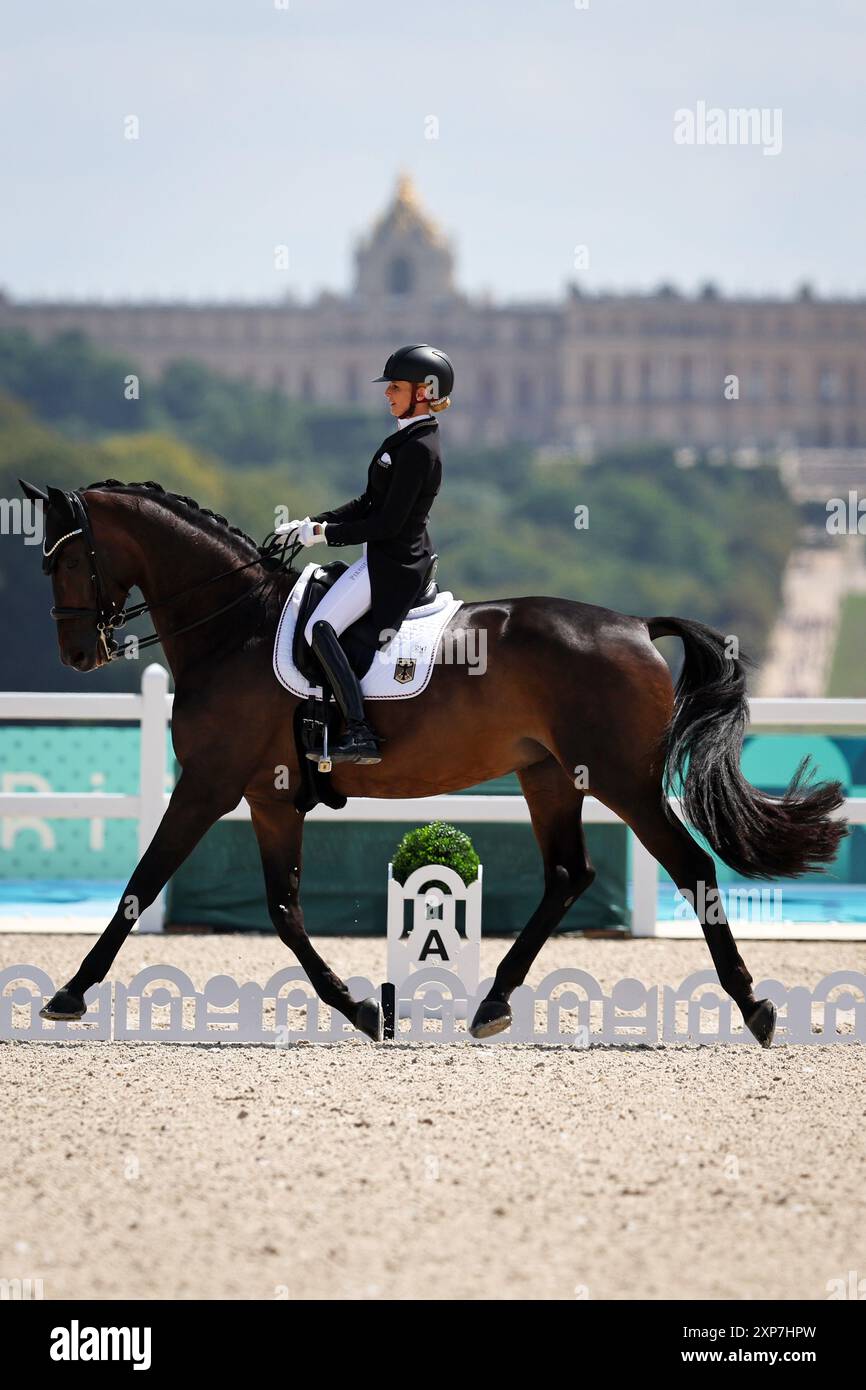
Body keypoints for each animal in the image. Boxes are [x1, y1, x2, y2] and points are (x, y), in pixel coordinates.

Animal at [18, 478, 845, 1045]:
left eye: (68, 560)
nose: (78, 654)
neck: (235, 628)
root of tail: (637, 624)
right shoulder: (268, 797)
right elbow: (283, 909)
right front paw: (361, 1010)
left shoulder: (208, 786)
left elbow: (143, 882)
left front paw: (68, 994)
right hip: (551, 776)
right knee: (568, 875)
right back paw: (492, 1004)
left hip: (623, 781)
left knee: (691, 868)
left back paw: (755, 1007)